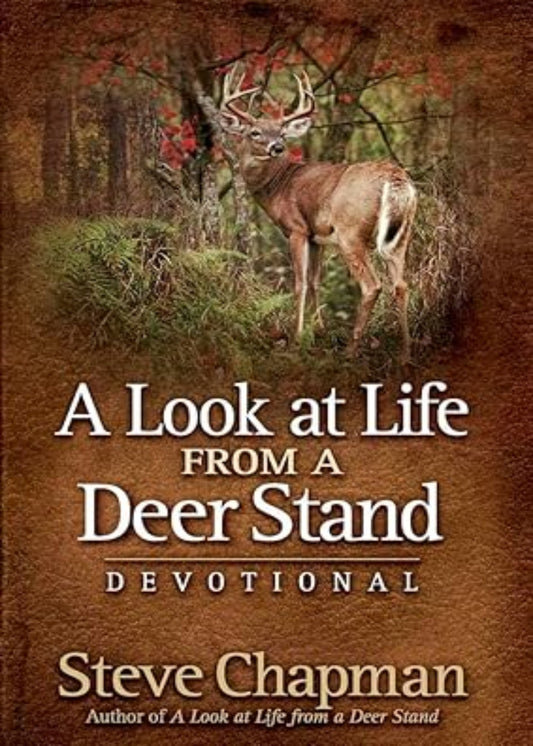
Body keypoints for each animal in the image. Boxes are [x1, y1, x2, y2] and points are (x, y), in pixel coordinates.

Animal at [219, 68, 418, 363]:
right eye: (255, 132)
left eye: (282, 132)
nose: (277, 147)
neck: (279, 185)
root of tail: (395, 179)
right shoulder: (317, 236)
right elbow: (314, 281)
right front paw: (319, 330)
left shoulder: (297, 229)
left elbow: (300, 283)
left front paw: (296, 338)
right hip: (401, 233)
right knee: (401, 285)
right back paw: (405, 353)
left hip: (351, 231)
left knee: (372, 285)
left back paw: (351, 349)